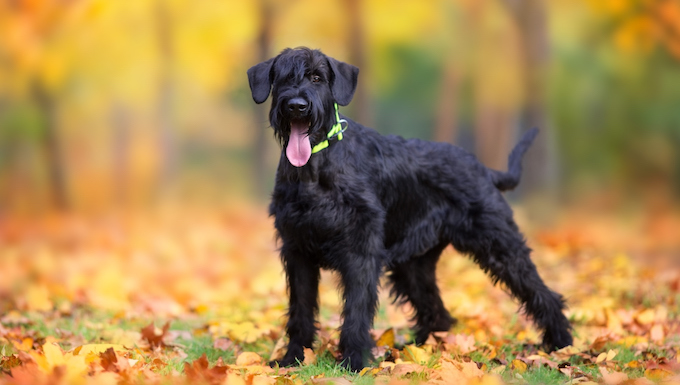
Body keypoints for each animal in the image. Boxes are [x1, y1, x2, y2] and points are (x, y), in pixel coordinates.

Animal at [247, 47, 572, 368]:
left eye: (317, 77)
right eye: (283, 77)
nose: (297, 106)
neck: (314, 169)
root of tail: (484, 169)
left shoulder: (360, 253)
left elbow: (356, 311)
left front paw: (354, 362)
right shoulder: (297, 251)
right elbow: (300, 310)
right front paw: (292, 359)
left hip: (500, 245)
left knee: (542, 293)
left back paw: (562, 345)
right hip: (413, 266)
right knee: (436, 311)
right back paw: (421, 351)